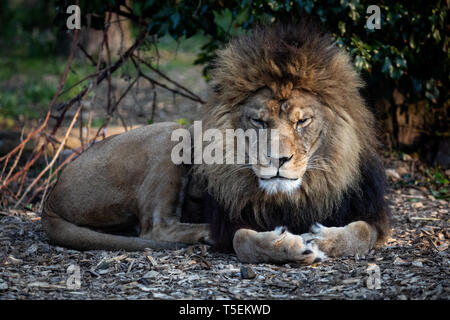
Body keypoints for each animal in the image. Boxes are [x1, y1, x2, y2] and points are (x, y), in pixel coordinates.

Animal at [41, 21, 390, 264]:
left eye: (302, 122)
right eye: (259, 121)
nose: (277, 160)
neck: (293, 196)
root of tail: (50, 195)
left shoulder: (369, 210)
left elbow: (362, 232)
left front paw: (320, 239)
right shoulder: (233, 218)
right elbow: (242, 240)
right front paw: (289, 246)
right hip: (174, 132)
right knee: (155, 227)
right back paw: (205, 234)